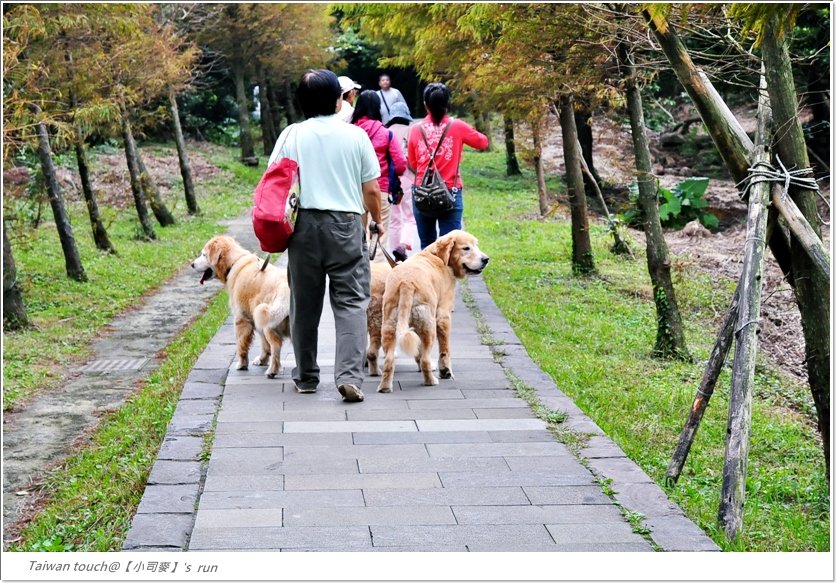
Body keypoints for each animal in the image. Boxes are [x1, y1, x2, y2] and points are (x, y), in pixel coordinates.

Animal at [192, 236, 290, 378]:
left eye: (203, 254)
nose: (192, 264)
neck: (234, 262)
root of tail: (286, 289)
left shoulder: (241, 318)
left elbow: (241, 345)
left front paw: (242, 364)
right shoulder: (255, 320)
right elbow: (264, 345)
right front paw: (262, 359)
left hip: (267, 319)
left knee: (276, 345)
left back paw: (272, 370)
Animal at [378, 232, 490, 392]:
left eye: (476, 245)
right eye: (466, 248)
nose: (486, 259)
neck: (437, 257)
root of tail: (406, 282)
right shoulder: (443, 316)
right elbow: (445, 349)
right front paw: (446, 371)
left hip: (389, 326)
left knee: (389, 360)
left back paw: (385, 387)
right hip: (428, 326)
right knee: (425, 359)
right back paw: (431, 381)